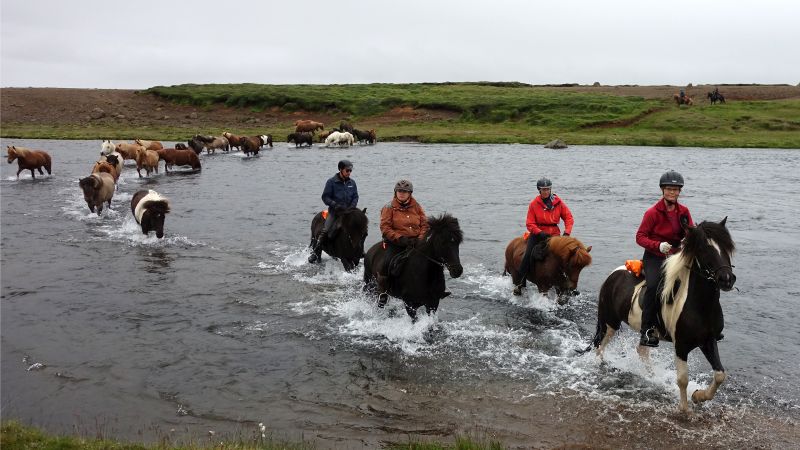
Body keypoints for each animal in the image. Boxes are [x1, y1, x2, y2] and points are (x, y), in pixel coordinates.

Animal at [584, 218, 736, 412]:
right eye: (704, 249)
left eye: (726, 247)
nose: (727, 279)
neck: (700, 305)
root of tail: (614, 275)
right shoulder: (681, 346)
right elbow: (683, 379)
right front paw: (684, 408)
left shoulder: (708, 340)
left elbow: (719, 375)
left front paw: (698, 396)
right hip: (609, 323)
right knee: (600, 347)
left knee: (641, 350)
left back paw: (652, 376)